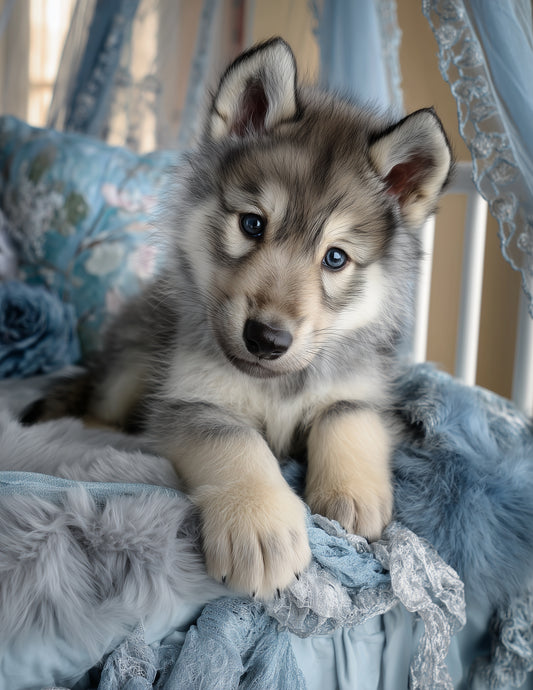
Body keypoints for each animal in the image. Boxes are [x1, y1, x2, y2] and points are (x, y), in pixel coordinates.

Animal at [22, 38, 452, 598]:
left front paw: (352, 492)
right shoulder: (191, 403)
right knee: (101, 404)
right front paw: (260, 523)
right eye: (252, 225)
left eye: (335, 258)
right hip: (134, 363)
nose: (266, 338)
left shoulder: (366, 392)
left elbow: (344, 416)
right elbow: (237, 442)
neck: (276, 386)